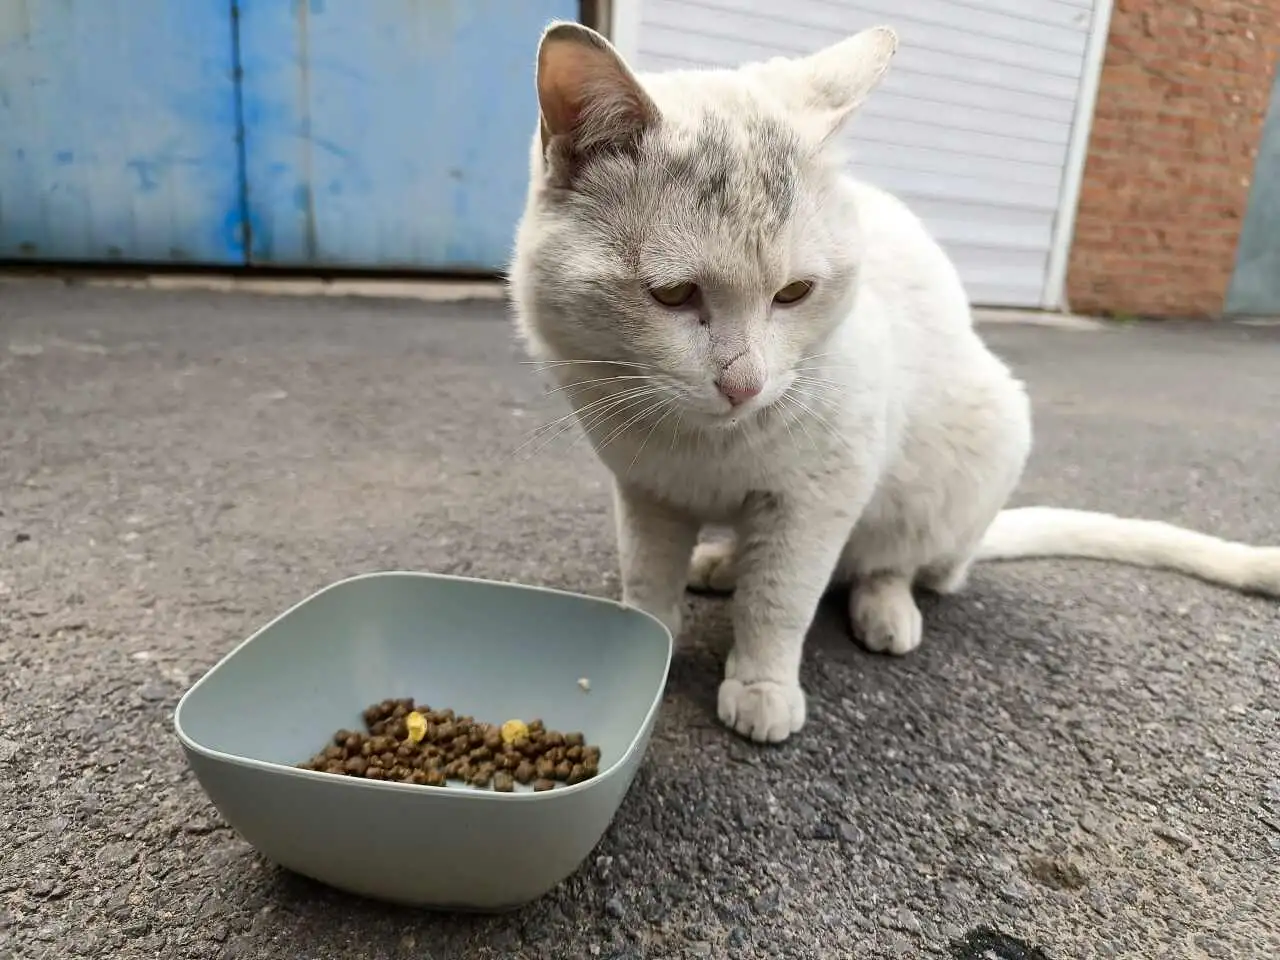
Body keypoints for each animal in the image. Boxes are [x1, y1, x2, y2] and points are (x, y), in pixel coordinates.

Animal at [504, 20, 1274, 742]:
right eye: (671, 296)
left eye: (795, 293)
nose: (745, 385)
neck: (703, 444)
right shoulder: (648, 494)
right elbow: (649, 579)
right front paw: (646, 653)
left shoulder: (819, 497)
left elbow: (779, 599)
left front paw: (761, 685)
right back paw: (722, 562)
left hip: (971, 449)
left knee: (891, 562)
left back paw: (883, 608)